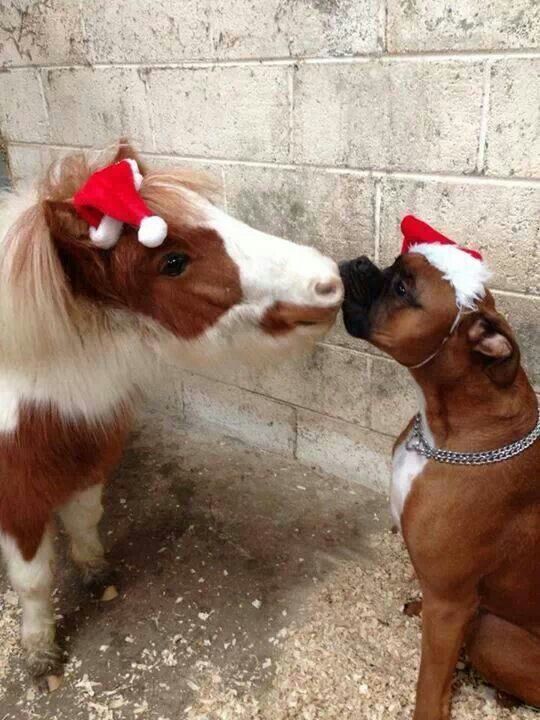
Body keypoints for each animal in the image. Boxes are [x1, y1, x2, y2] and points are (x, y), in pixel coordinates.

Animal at [0, 142, 342, 688]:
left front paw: (96, 573)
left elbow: (85, 519)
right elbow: (33, 580)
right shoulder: (17, 500)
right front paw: (40, 654)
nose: (327, 281)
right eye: (173, 261)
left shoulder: (90, 463)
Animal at [340, 214, 536, 720]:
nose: (363, 261)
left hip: (493, 633)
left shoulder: (451, 604)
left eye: (403, 288)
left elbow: (430, 681)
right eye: (394, 263)